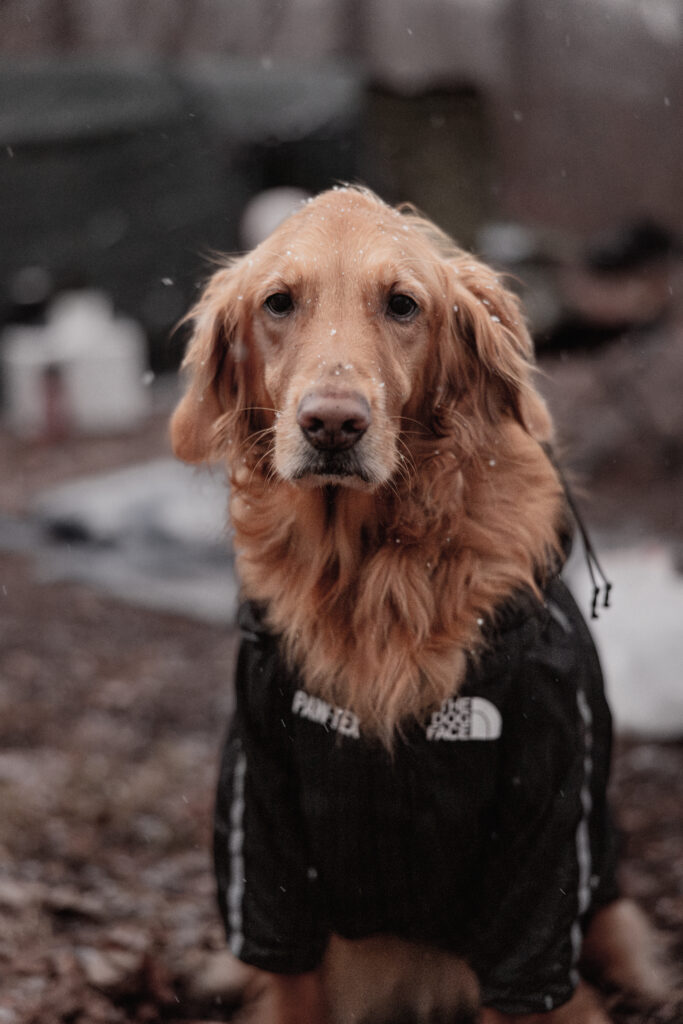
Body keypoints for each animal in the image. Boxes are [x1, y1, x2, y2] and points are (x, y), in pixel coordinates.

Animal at [171, 188, 667, 1019]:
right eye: (278, 302)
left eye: (402, 304)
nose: (331, 424)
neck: (374, 570)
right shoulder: (264, 831)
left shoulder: (542, 834)